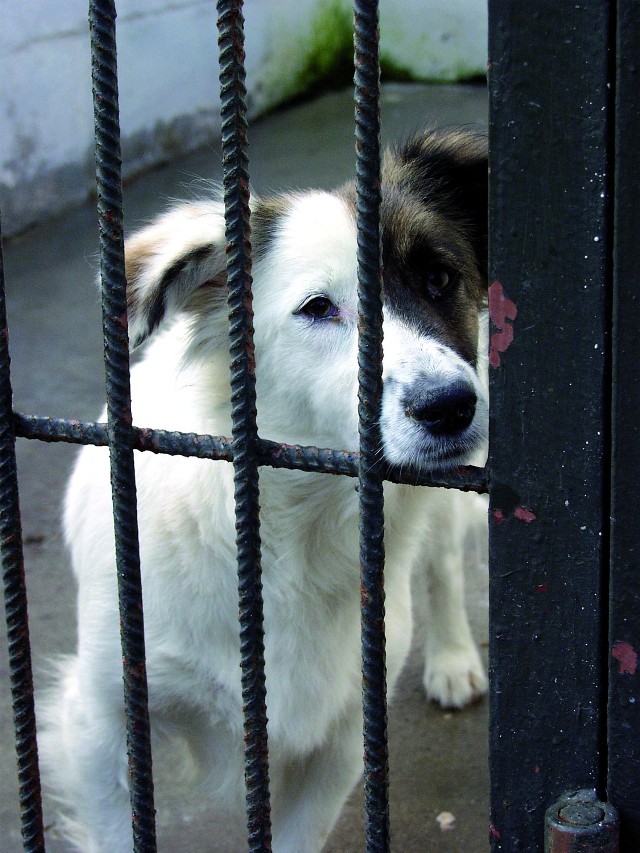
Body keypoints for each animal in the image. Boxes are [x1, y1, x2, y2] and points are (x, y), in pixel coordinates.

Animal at [40, 130, 488, 848]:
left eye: (440, 277)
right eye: (317, 308)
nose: (450, 406)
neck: (298, 530)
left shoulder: (342, 735)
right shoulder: (101, 723)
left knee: (443, 562)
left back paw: (451, 655)